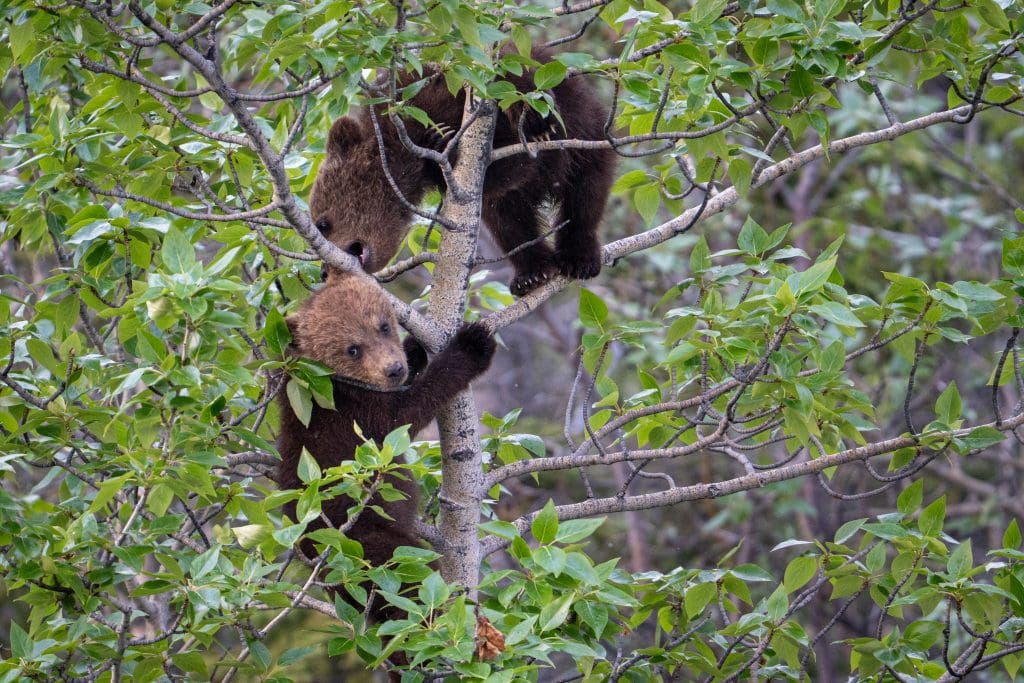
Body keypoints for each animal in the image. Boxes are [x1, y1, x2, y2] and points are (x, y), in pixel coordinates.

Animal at [275, 271, 496, 622]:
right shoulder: (353, 412)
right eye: (352, 349)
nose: (394, 369)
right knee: (411, 582)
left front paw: (416, 346)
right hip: (371, 549)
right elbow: (406, 412)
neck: (328, 381)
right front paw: (472, 344)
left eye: (383, 326)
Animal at [309, 50, 617, 296]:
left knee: (586, 195)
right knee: (509, 221)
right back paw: (532, 274)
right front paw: (443, 144)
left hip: (588, 138)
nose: (324, 272)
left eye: (322, 223)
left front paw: (536, 121)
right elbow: (506, 180)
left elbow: (509, 79)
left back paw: (579, 257)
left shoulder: (444, 88)